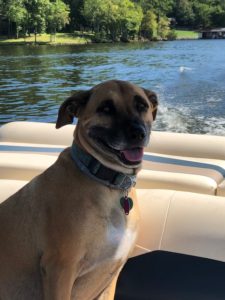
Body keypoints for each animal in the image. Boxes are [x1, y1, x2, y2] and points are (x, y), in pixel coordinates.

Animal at [0, 80, 158, 300]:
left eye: (142, 105)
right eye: (106, 108)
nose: (137, 133)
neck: (106, 183)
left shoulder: (111, 274)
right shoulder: (60, 269)